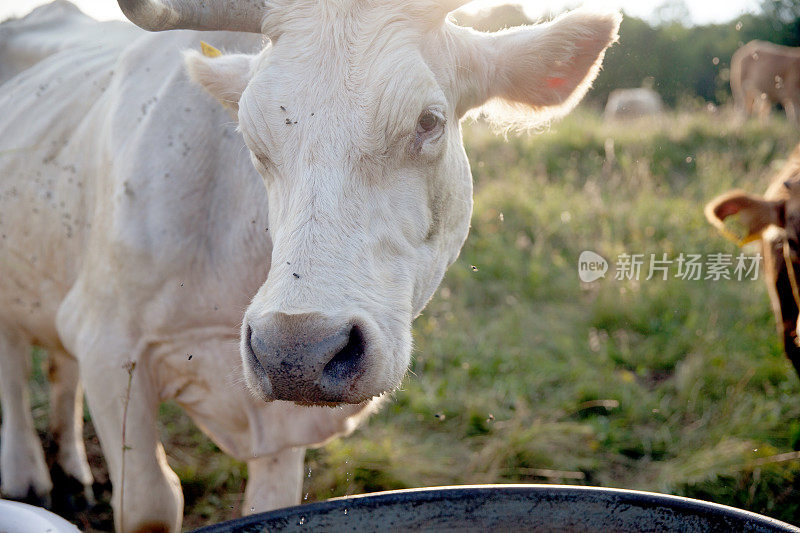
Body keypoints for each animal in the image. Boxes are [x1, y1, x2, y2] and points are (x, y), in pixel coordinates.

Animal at [0, 2, 620, 528]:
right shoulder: (111, 348)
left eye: (428, 121)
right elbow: (151, 501)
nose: (296, 351)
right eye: (249, 132)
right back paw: (28, 475)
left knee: (58, 369)